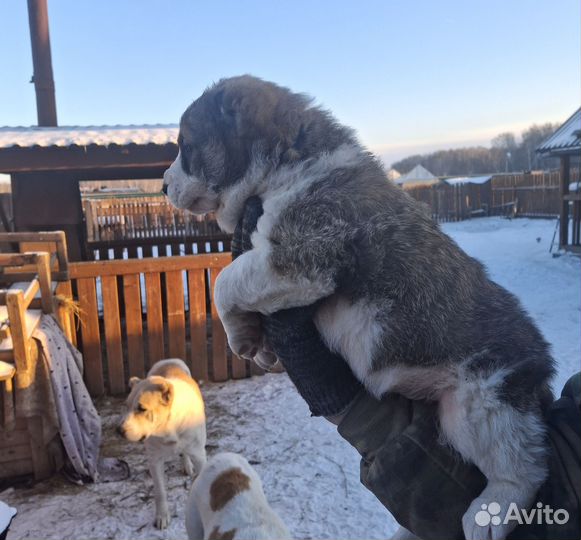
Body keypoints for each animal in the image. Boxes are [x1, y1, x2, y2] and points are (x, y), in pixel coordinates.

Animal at [119, 356, 207, 528]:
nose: (119, 430)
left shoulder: (200, 456)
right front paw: (162, 517)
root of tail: (169, 360)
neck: (169, 428)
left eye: (142, 408)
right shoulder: (155, 460)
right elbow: (160, 492)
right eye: (126, 406)